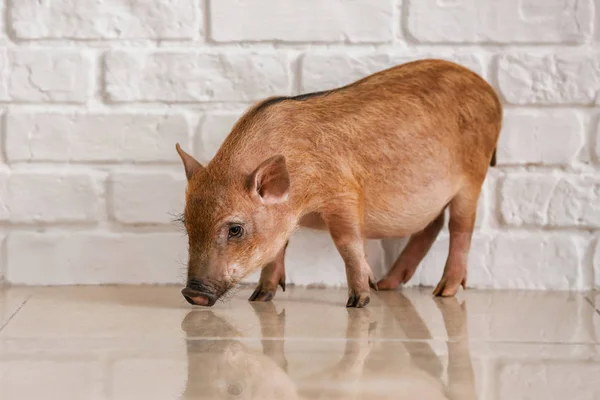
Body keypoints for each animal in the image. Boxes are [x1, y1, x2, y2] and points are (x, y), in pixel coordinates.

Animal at [177, 59, 502, 308]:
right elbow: (278, 248)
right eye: (187, 225)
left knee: (460, 227)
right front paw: (259, 298)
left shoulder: (343, 194)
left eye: (235, 229)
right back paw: (388, 285)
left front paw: (359, 302)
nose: (192, 294)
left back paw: (442, 292)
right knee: (431, 226)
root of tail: (490, 92)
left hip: (473, 178)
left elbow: (348, 244)